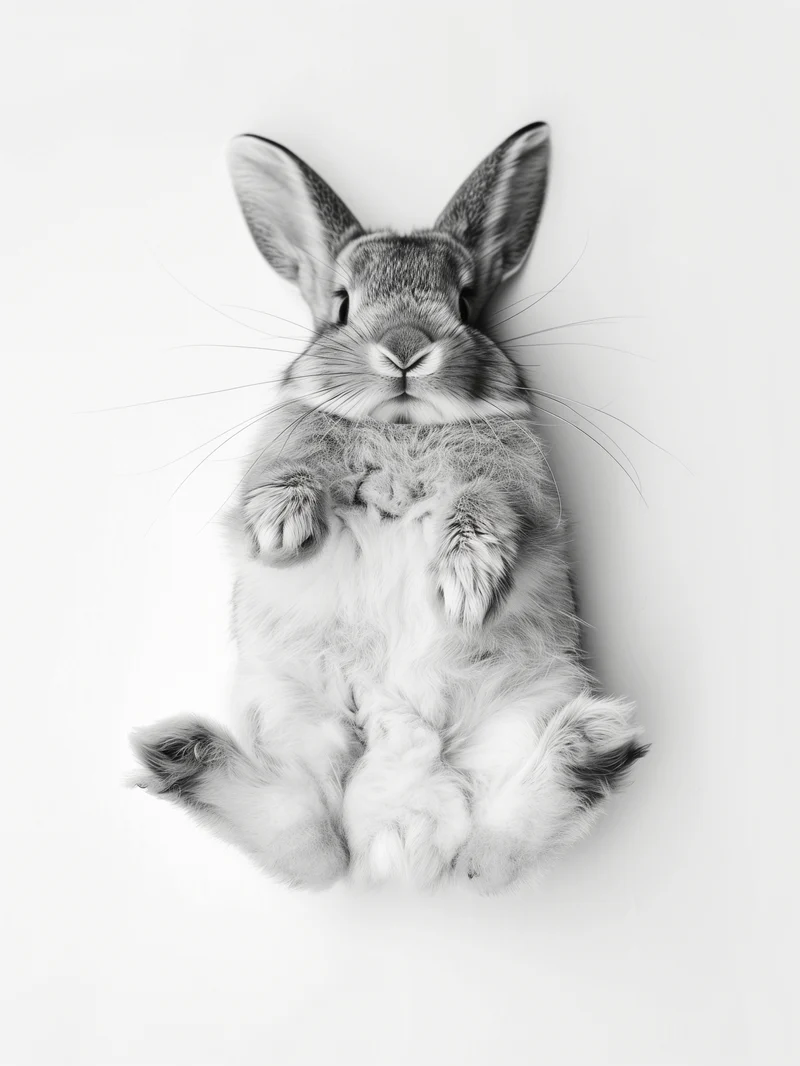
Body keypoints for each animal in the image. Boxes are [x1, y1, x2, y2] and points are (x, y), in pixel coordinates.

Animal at [131, 122, 647, 894]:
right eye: (342, 303)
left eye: (466, 301)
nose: (405, 348)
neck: (403, 427)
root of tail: (398, 831)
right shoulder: (279, 451)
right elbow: (285, 477)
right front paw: (281, 530)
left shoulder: (520, 488)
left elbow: (487, 507)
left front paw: (464, 584)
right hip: (292, 713)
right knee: (308, 841)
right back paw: (177, 751)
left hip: (521, 709)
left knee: (490, 847)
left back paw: (591, 743)